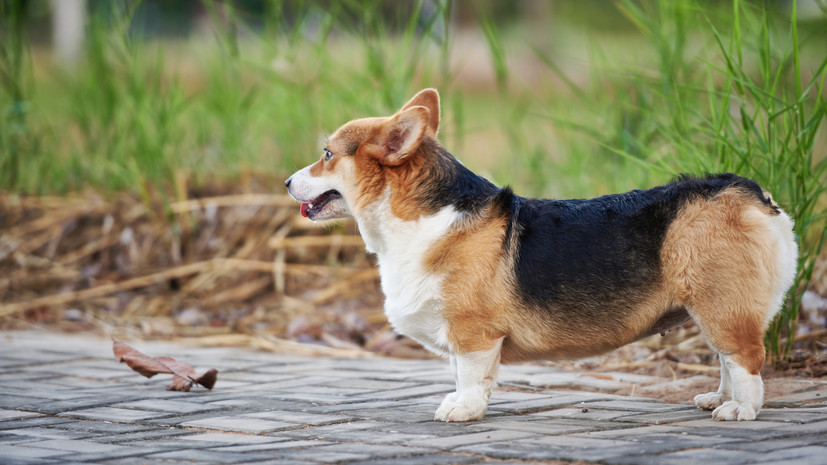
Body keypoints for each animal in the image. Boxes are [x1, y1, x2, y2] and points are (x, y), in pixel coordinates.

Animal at [288, 89, 800, 422]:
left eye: (327, 154)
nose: (289, 181)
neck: (423, 218)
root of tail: (753, 195)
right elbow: (460, 372)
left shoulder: (473, 332)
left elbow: (470, 375)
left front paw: (464, 410)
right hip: (712, 308)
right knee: (728, 359)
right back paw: (717, 398)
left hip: (721, 305)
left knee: (746, 358)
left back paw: (740, 409)